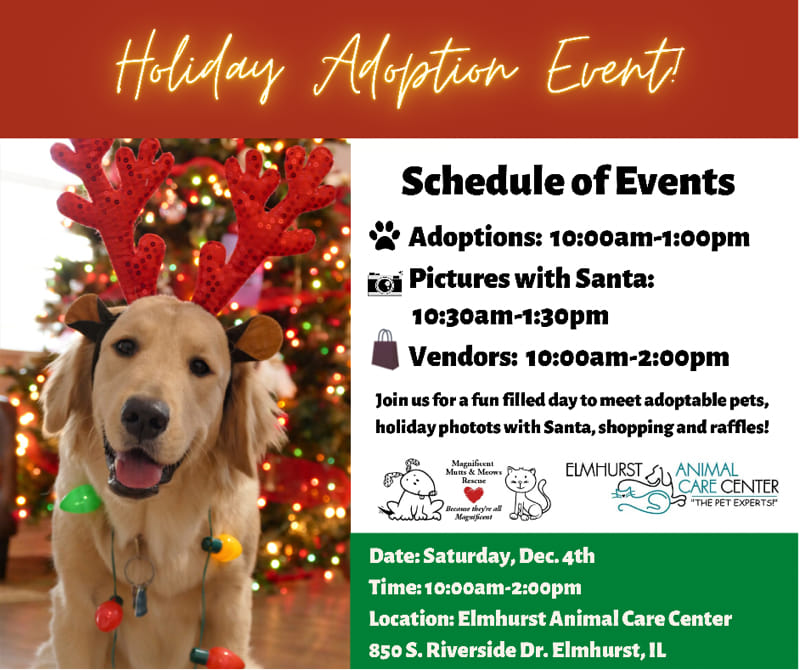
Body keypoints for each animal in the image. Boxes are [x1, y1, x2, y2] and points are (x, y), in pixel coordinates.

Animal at [35, 296, 284, 668]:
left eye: (200, 367)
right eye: (125, 346)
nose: (144, 415)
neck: (148, 527)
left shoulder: (230, 607)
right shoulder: (75, 608)